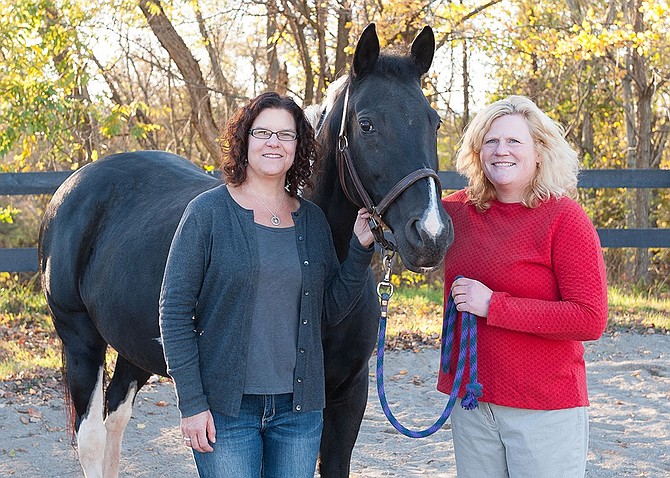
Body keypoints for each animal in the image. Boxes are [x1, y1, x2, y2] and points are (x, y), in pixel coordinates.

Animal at [38, 24, 456, 476]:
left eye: (434, 122)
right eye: (366, 124)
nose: (431, 233)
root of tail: (71, 188)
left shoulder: (348, 394)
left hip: (136, 344)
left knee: (116, 418)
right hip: (81, 339)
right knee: (92, 437)